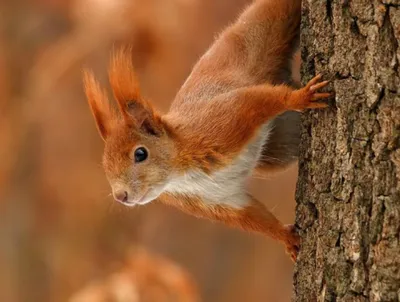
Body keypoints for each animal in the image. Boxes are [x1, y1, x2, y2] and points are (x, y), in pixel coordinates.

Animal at [82, 0, 332, 260]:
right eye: (105, 165)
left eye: (140, 154)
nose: (120, 196)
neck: (179, 174)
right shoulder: (217, 200)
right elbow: (251, 216)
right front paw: (287, 238)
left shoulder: (222, 122)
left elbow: (257, 101)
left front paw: (300, 97)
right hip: (282, 144)